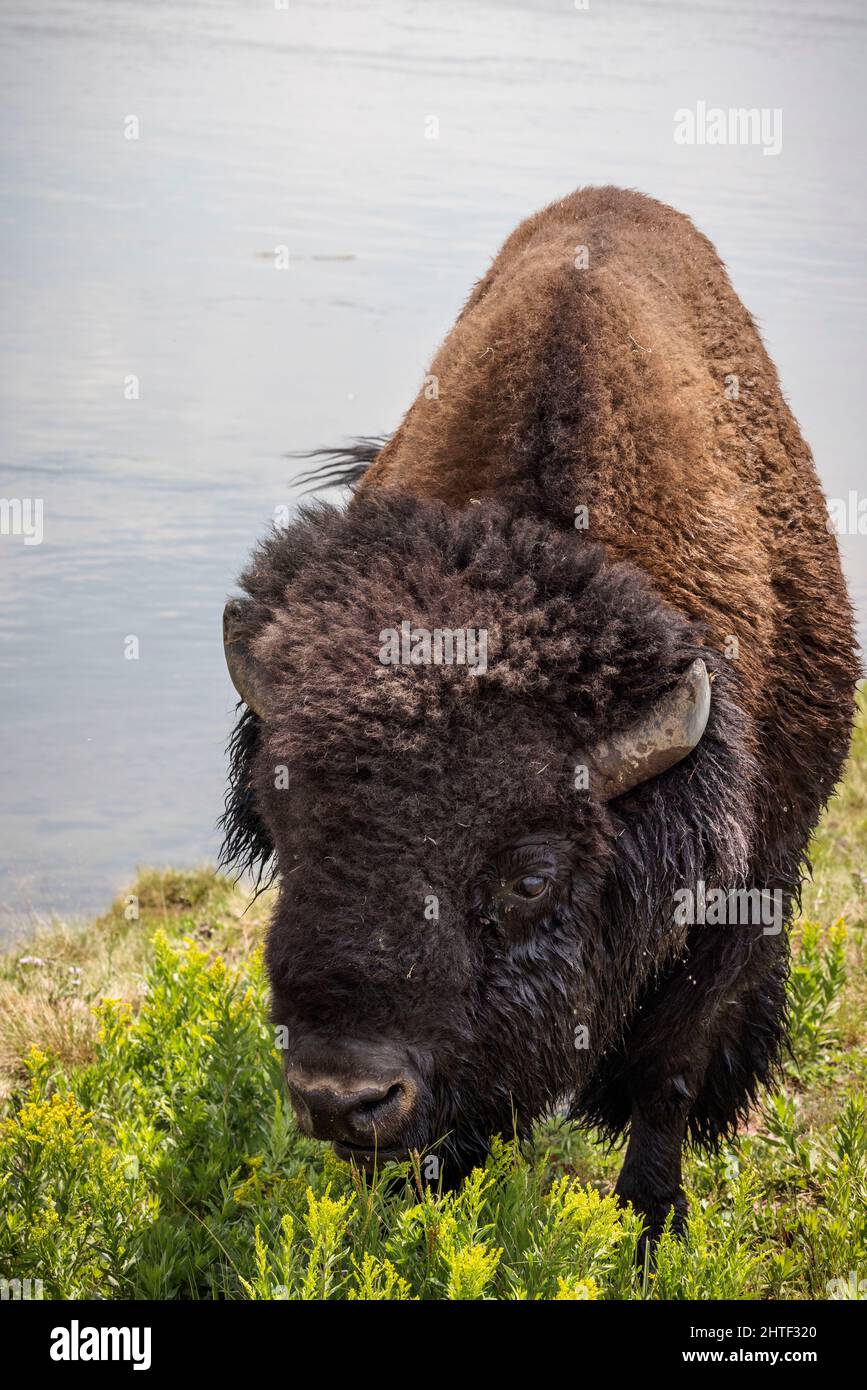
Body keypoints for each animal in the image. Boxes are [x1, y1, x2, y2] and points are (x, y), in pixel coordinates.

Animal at [219, 187, 855, 1251]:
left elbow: (669, 1071)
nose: (344, 1098)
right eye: (288, 832)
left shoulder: (735, 901)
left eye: (529, 877)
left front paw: (650, 1229)